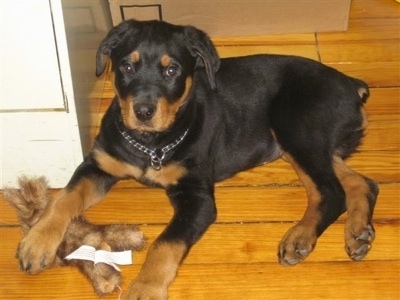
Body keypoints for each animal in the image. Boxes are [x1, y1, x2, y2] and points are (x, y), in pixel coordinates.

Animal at [15, 19, 378, 298]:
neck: (151, 144)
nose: (142, 111)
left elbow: (166, 242)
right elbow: (65, 197)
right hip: (311, 143)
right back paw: (358, 232)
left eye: (171, 70)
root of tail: (351, 84)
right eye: (127, 66)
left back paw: (300, 237)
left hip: (294, 125)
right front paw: (36, 243)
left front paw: (145, 288)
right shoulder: (98, 164)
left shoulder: (197, 197)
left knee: (330, 191)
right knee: (360, 182)